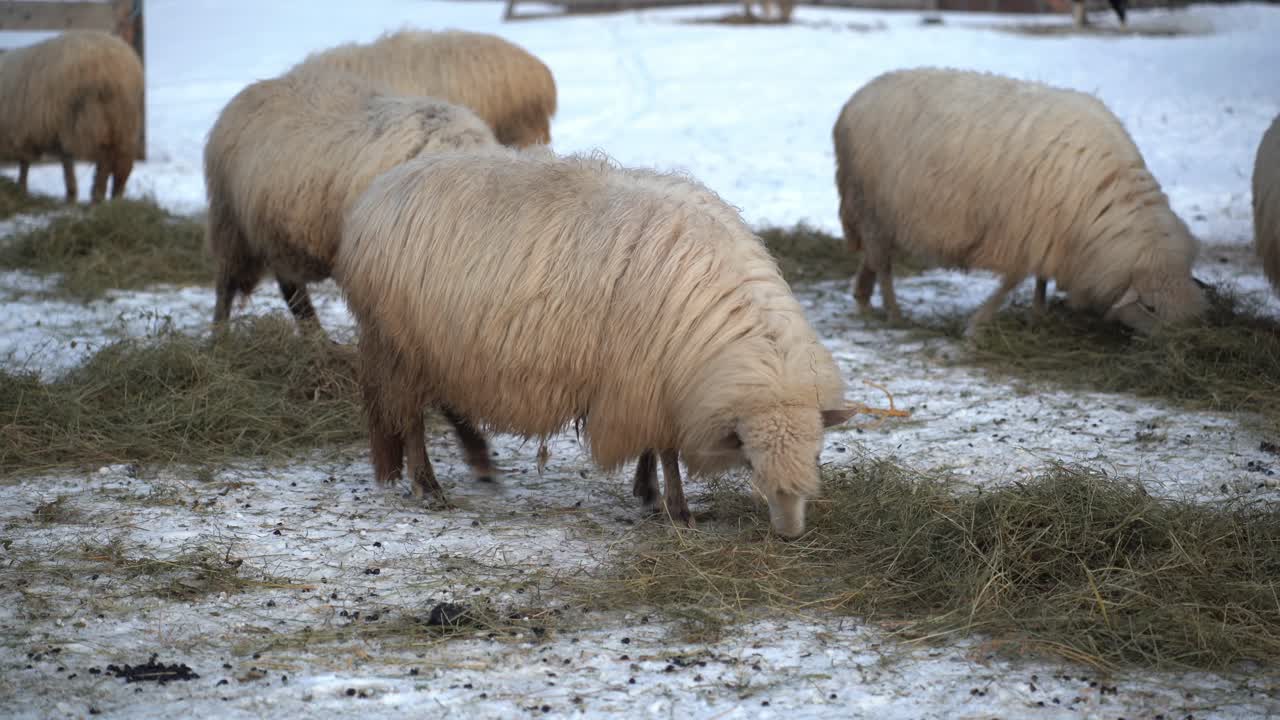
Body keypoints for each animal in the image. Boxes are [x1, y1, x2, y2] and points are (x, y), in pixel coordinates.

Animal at [0, 30, 143, 204]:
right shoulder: (52, 131)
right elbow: (64, 161)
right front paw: (71, 194)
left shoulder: (24, 132)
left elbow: (25, 164)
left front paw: (21, 189)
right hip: (123, 122)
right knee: (123, 162)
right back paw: (115, 197)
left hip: (89, 118)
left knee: (105, 157)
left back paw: (97, 195)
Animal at [203, 69, 497, 331]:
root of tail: (252, 90)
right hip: (230, 222)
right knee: (227, 286)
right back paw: (220, 335)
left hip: (274, 234)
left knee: (290, 288)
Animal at [334, 149, 857, 538]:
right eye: (750, 460)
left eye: (818, 454)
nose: (790, 534)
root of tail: (378, 192)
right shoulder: (644, 378)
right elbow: (666, 450)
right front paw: (675, 508)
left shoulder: (651, 379)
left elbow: (653, 448)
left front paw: (647, 491)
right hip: (399, 343)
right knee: (411, 419)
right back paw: (428, 484)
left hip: (441, 346)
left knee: (446, 404)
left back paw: (479, 460)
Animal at [833, 67, 1206, 336]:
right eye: (1151, 308)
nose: (1179, 346)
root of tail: (856, 98)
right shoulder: (1023, 230)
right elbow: (1013, 280)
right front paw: (977, 324)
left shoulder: (1050, 232)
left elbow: (1040, 278)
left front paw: (1038, 314)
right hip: (870, 204)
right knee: (883, 266)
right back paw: (894, 314)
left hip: (877, 213)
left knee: (872, 257)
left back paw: (863, 300)